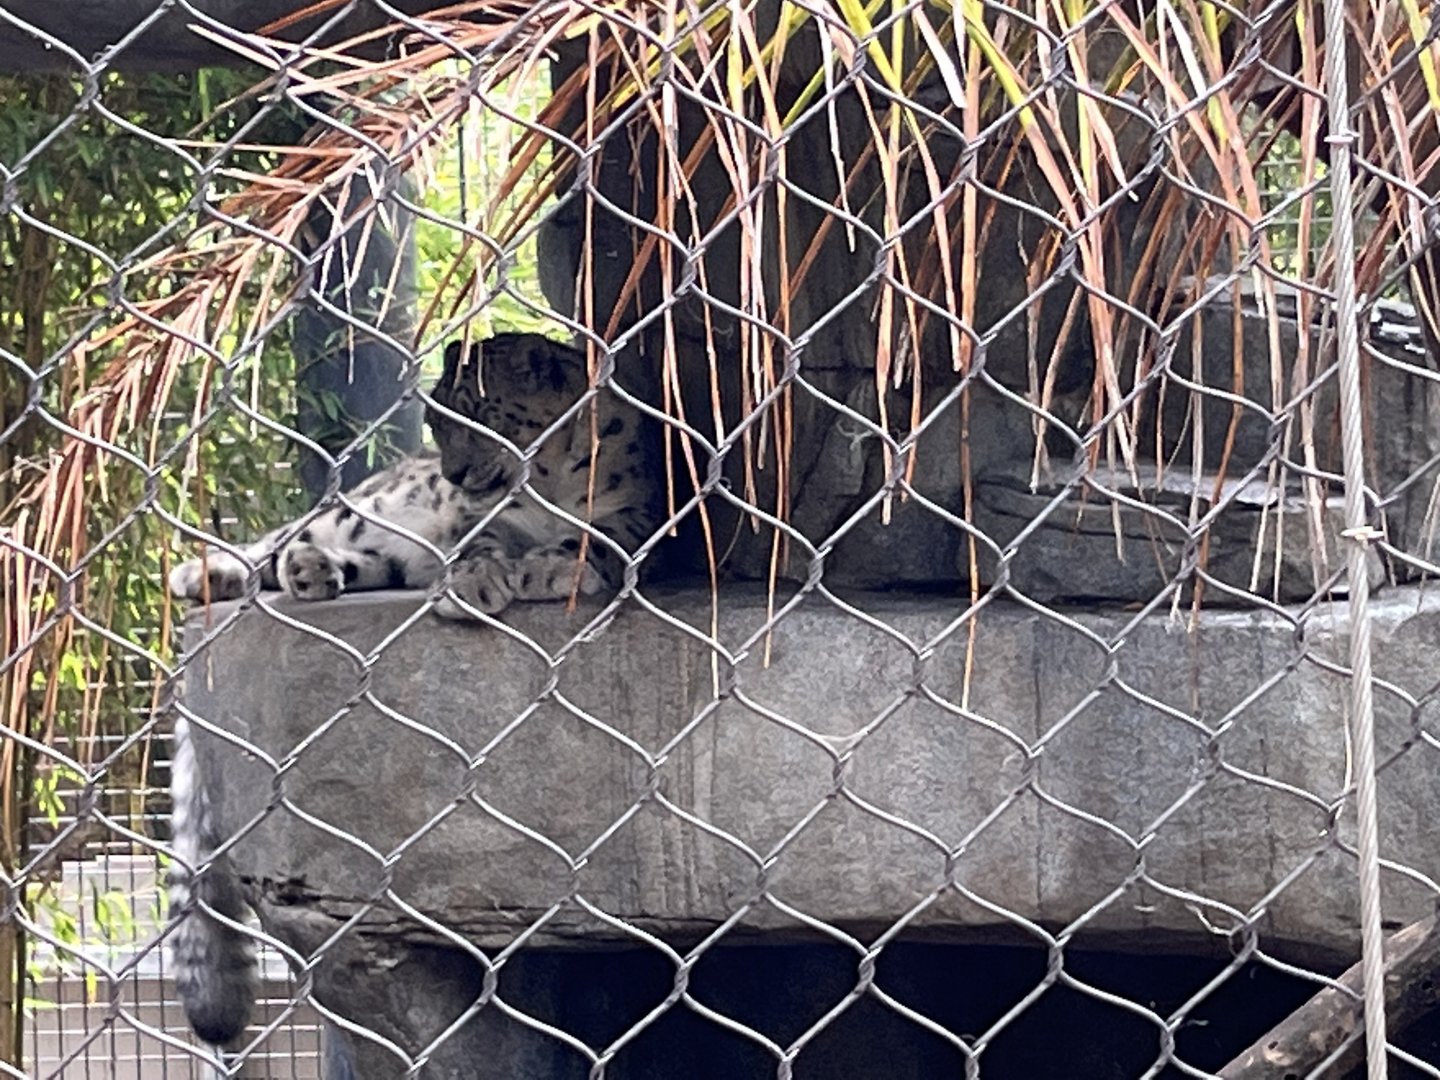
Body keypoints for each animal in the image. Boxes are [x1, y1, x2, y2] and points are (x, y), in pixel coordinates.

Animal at [165, 331, 660, 1048]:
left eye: (482, 415)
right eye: (436, 418)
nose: (453, 473)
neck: (551, 483)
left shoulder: (638, 520)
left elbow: (593, 540)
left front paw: (548, 567)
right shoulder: (482, 521)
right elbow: (481, 543)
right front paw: (477, 582)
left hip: (379, 549)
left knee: (334, 561)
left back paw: (312, 573)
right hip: (353, 515)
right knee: (279, 541)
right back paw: (212, 572)